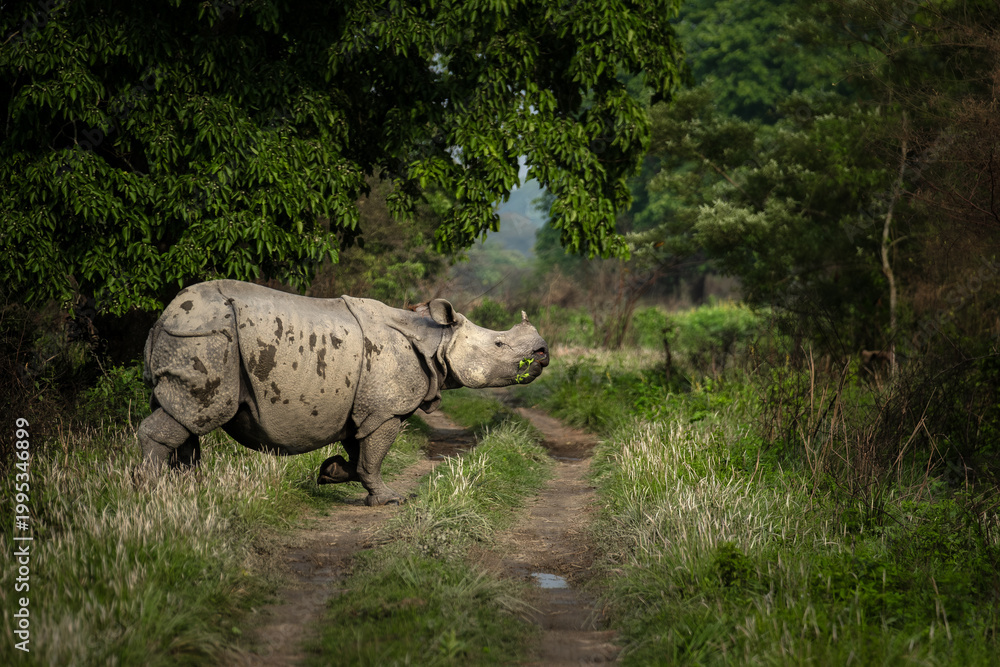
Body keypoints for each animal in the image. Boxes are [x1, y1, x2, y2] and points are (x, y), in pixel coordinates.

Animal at [137, 280, 549, 505]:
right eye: (499, 344)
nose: (543, 352)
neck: (437, 338)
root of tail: (163, 317)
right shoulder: (386, 409)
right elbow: (373, 457)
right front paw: (388, 500)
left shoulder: (364, 406)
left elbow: (359, 452)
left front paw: (329, 472)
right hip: (203, 335)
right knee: (195, 413)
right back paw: (153, 489)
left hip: (193, 335)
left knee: (185, 416)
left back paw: (189, 490)